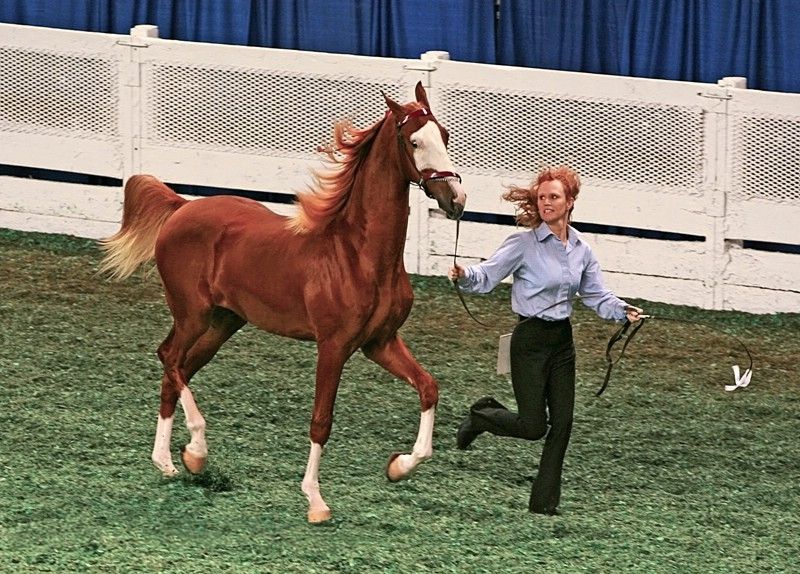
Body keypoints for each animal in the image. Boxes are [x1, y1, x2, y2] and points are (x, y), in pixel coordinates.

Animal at [97, 83, 466, 524]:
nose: (457, 199)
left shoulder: (380, 342)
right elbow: (321, 421)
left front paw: (399, 466)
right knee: (169, 357)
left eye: (445, 135)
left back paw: (171, 462)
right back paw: (197, 451)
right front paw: (315, 501)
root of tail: (182, 208)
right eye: (414, 141)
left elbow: (428, 388)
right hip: (192, 315)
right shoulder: (333, 346)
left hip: (223, 323)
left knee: (178, 369)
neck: (359, 254)